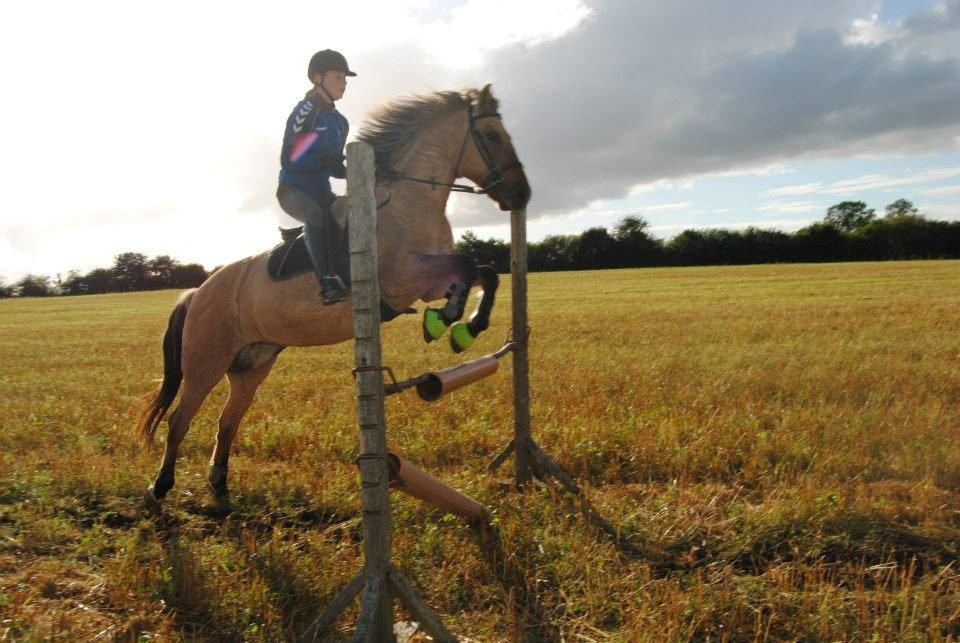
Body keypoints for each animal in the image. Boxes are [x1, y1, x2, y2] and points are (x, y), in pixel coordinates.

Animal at [136, 84, 532, 508]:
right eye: (491, 136)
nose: (522, 194)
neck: (408, 200)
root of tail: (199, 292)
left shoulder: (426, 280)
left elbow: (482, 273)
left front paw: (460, 326)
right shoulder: (404, 278)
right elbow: (468, 264)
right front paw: (445, 321)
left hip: (251, 366)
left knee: (227, 422)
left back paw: (219, 487)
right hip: (206, 363)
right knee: (180, 420)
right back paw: (159, 488)